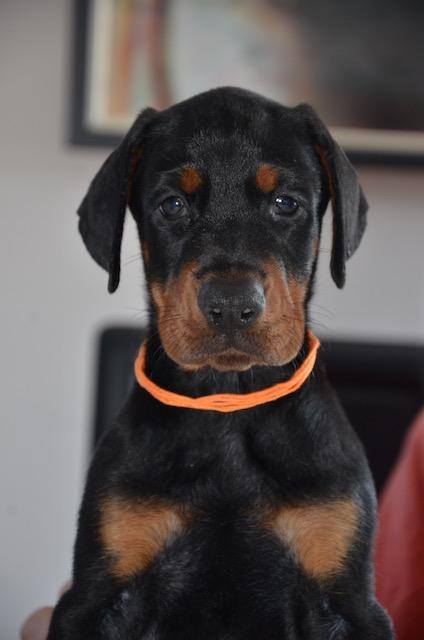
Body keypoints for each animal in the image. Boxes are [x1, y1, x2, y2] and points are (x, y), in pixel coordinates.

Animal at [47, 87, 394, 639]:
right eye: (172, 205)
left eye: (285, 203)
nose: (232, 305)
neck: (229, 401)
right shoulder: (95, 598)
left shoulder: (350, 602)